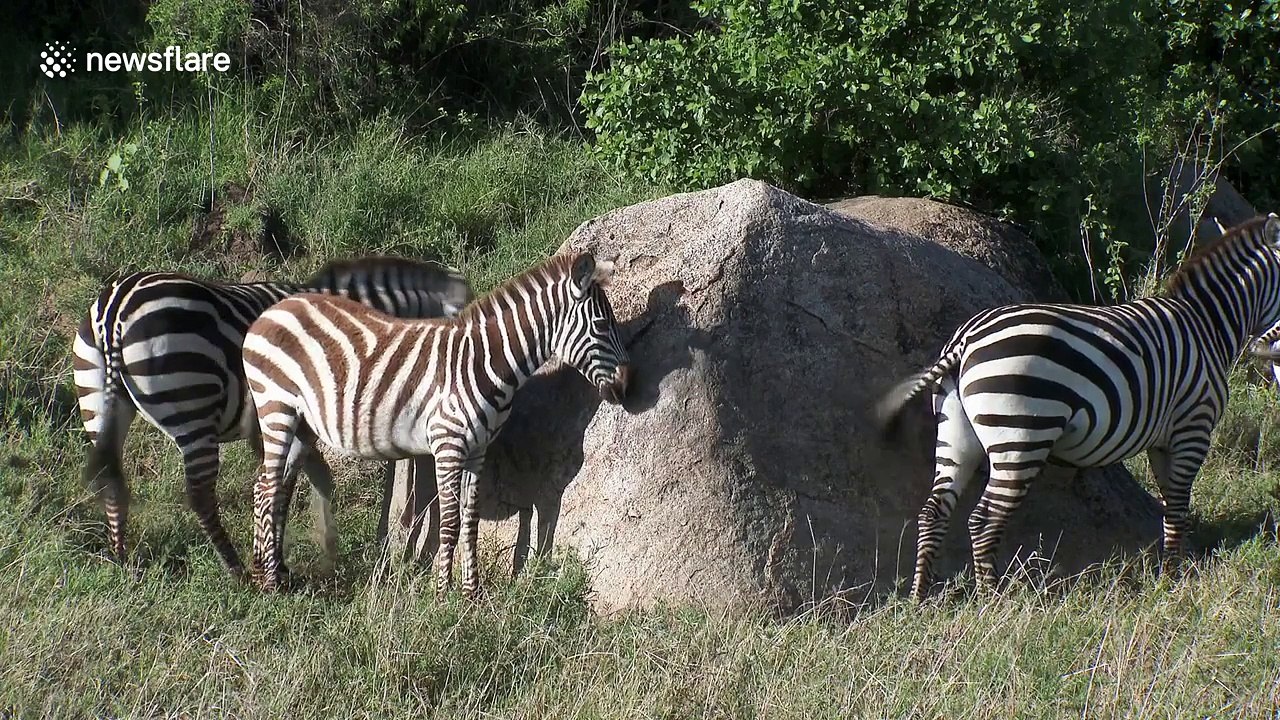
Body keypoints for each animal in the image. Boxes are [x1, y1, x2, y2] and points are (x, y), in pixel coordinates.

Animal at [73, 257, 474, 578]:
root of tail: (115, 308)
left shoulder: (284, 427)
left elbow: (296, 481)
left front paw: (288, 554)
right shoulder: (298, 421)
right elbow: (285, 485)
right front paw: (283, 561)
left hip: (97, 403)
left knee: (112, 481)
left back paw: (121, 559)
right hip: (192, 403)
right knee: (200, 496)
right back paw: (235, 569)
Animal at [241, 251, 631, 595]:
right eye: (601, 325)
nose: (628, 385)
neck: (484, 363)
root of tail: (274, 309)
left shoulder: (478, 450)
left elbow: (471, 520)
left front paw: (472, 593)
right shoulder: (447, 446)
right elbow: (450, 522)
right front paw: (443, 593)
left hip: (302, 424)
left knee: (268, 487)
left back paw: (269, 572)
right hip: (276, 408)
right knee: (268, 487)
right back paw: (271, 583)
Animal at [876, 214, 1280, 601]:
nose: (1267, 352)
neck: (1208, 325)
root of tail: (965, 340)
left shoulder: (1162, 440)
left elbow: (1170, 508)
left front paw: (1169, 574)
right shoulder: (1193, 428)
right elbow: (1178, 508)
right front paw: (1173, 581)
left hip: (955, 434)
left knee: (934, 511)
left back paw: (920, 597)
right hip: (1020, 438)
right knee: (983, 519)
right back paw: (992, 598)